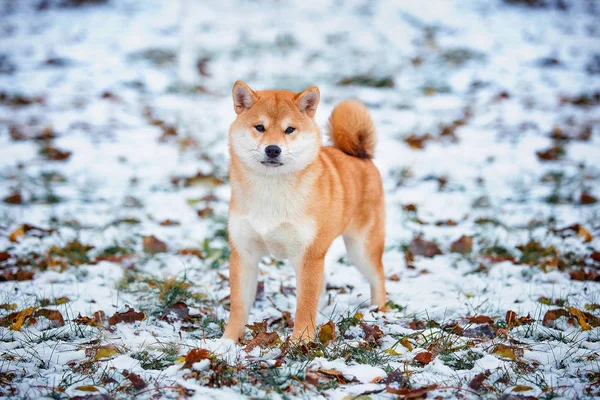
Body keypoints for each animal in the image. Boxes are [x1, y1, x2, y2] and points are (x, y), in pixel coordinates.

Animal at [223, 80, 386, 340]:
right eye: (259, 127)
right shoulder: (244, 253)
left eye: (290, 129)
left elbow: (305, 305)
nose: (273, 149)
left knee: (378, 277)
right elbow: (239, 306)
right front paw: (227, 342)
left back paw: (379, 312)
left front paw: (301, 341)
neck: (271, 193)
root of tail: (360, 155)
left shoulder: (308, 255)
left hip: (360, 250)